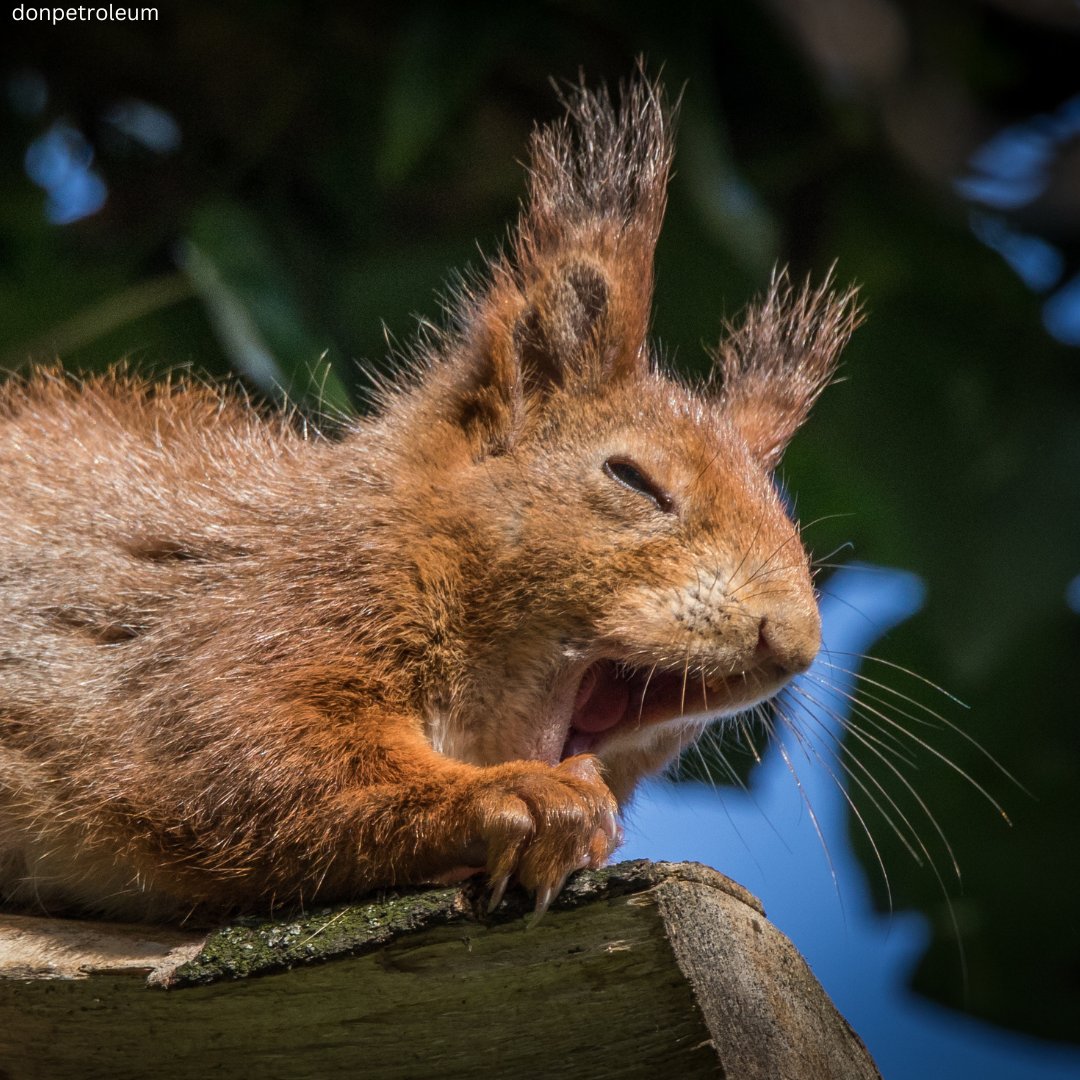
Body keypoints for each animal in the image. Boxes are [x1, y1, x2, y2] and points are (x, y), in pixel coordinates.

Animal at [0, 76, 859, 920]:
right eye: (632, 478)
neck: (407, 529)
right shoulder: (256, 615)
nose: (791, 641)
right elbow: (234, 755)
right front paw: (517, 795)